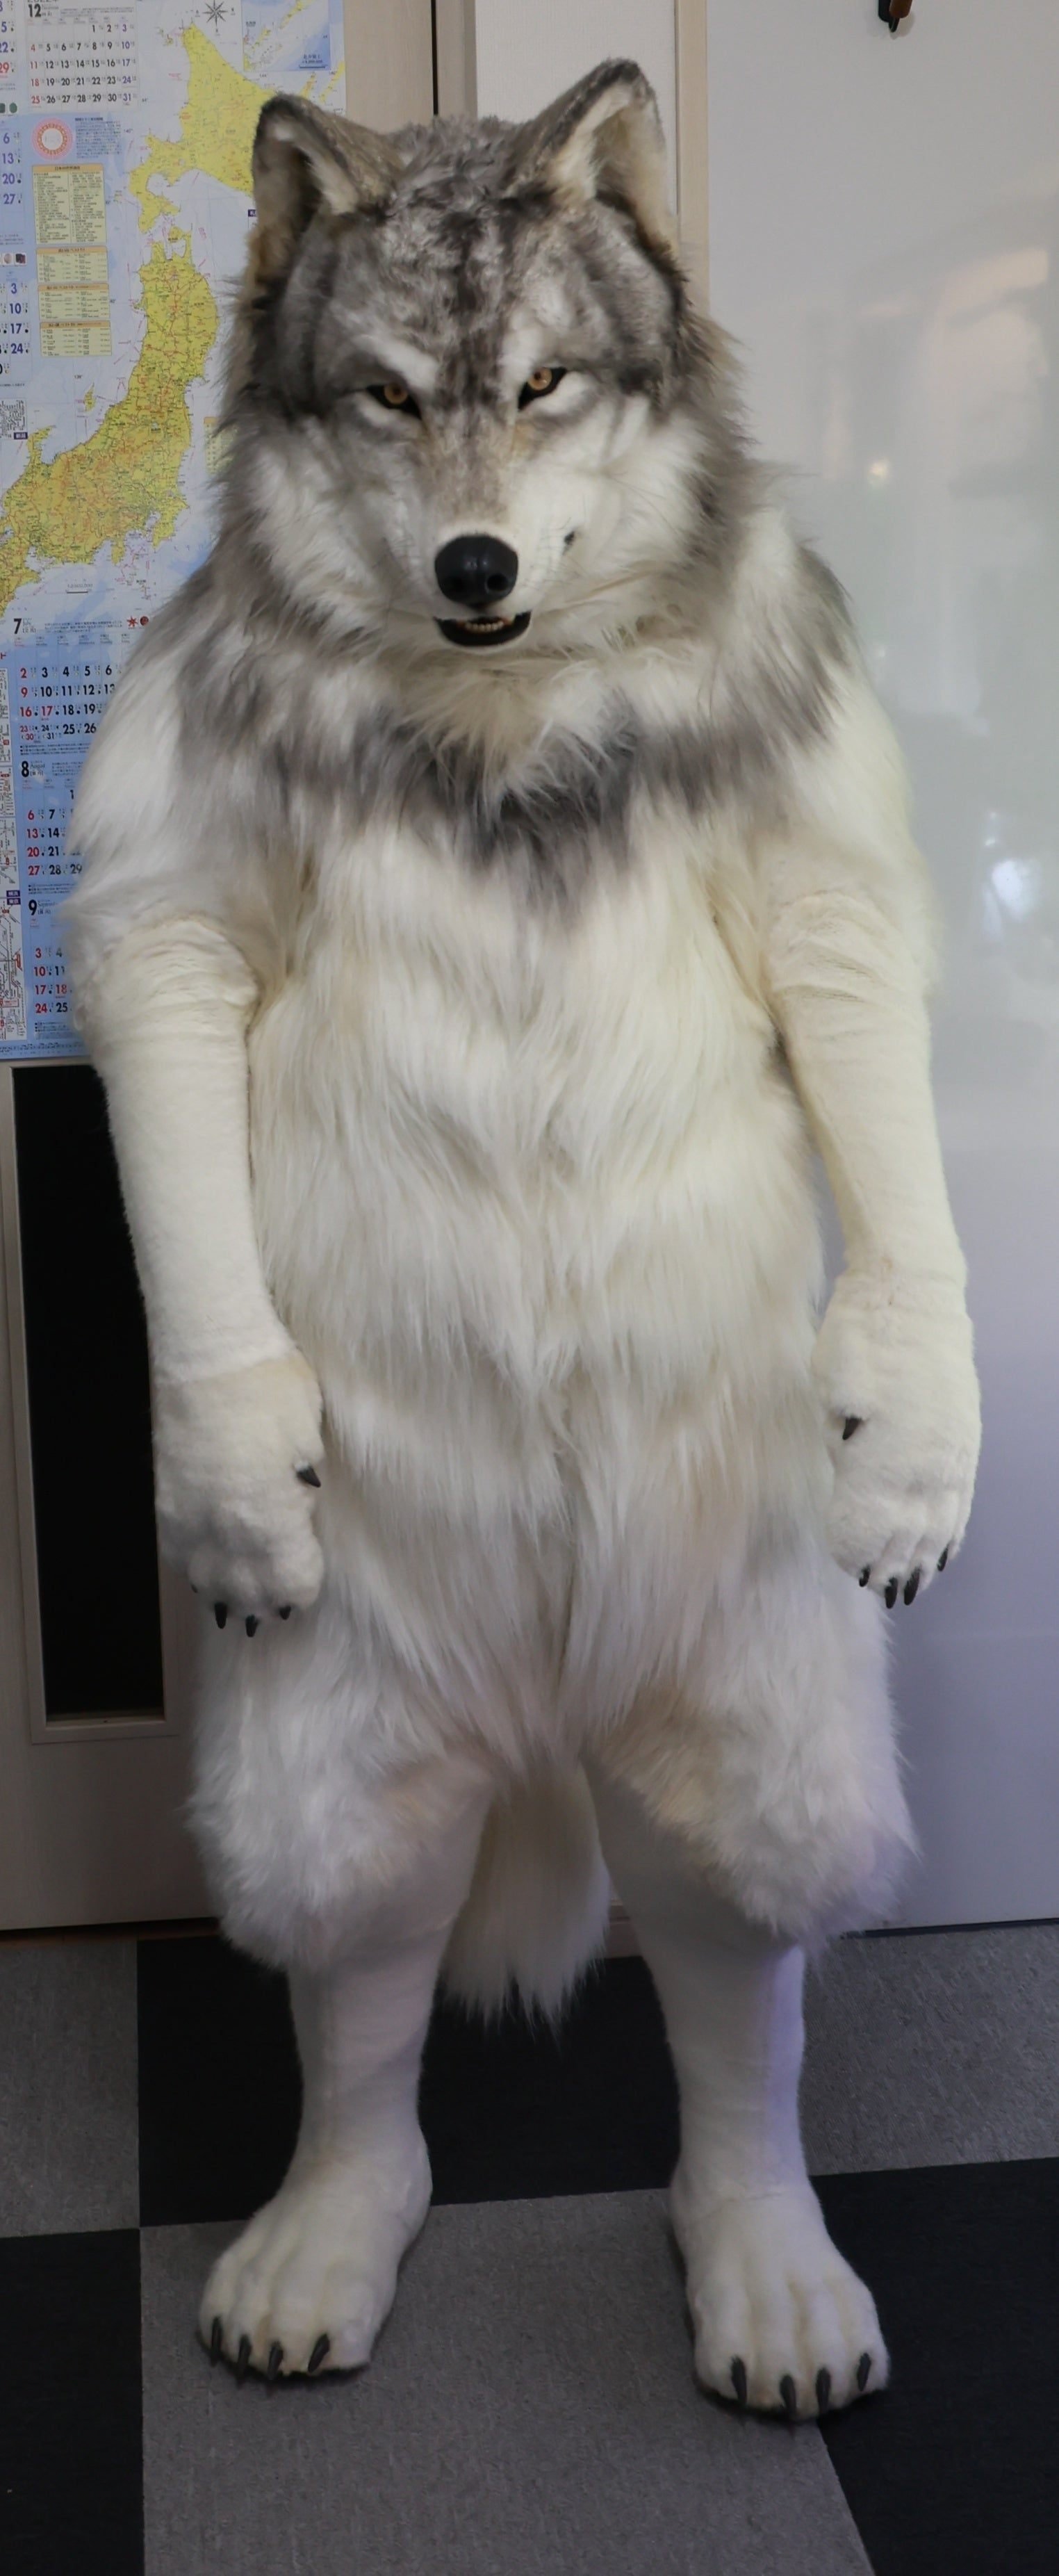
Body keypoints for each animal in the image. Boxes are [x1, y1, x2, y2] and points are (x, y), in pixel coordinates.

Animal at [66, 63, 980, 2417]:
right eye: (393, 398)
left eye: (545, 385)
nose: (475, 565)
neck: (501, 721)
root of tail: (546, 1691)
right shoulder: (166, 906)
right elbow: (168, 1010)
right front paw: (227, 1448)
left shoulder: (816, 867)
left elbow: (857, 1023)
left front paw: (918, 1429)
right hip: (346, 1705)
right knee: (364, 1970)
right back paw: (323, 2236)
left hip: (741, 1677)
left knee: (728, 1958)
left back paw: (765, 2265)